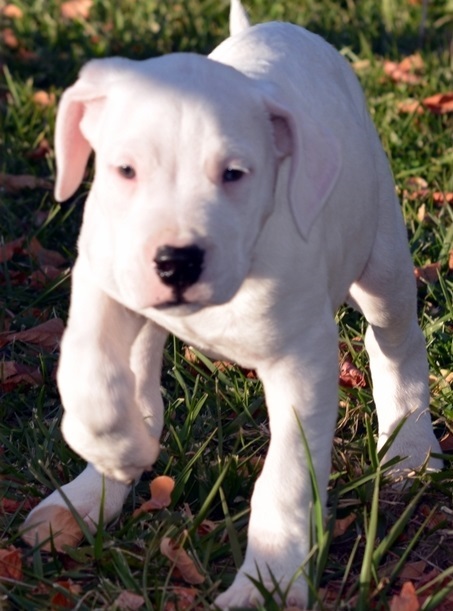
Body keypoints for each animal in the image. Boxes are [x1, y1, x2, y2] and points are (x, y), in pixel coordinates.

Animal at [23, 2, 440, 608]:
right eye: (125, 170)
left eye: (234, 174)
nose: (176, 262)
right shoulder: (103, 279)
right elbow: (90, 375)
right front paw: (114, 458)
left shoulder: (302, 365)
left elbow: (286, 478)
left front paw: (268, 581)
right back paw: (85, 496)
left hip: (382, 258)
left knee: (396, 343)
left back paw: (411, 448)